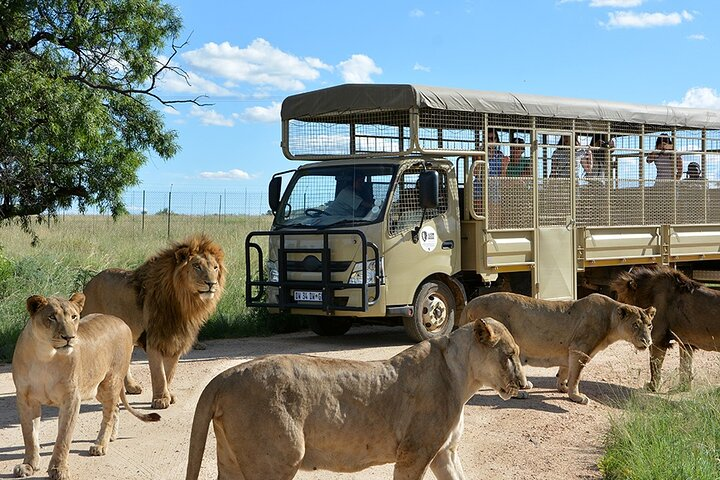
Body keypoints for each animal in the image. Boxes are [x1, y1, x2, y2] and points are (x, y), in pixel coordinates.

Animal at [13, 292, 160, 480]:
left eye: (74, 317)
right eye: (52, 317)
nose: (69, 337)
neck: (45, 355)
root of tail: (121, 321)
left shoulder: (71, 398)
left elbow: (63, 437)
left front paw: (59, 469)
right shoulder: (25, 399)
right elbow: (29, 436)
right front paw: (28, 466)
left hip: (110, 382)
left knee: (109, 414)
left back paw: (100, 445)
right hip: (98, 389)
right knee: (115, 409)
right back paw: (111, 437)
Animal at [81, 234, 225, 406]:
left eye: (215, 268)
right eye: (197, 266)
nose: (211, 283)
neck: (184, 303)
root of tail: (89, 283)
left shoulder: (176, 338)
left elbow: (169, 372)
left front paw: (168, 395)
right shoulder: (154, 338)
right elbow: (159, 373)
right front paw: (161, 399)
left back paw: (131, 387)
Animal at [184, 316, 524, 478]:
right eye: (510, 355)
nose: (523, 384)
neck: (463, 378)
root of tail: (223, 377)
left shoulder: (444, 454)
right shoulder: (414, 454)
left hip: (232, 459)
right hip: (278, 459)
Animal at [458, 290, 656, 404]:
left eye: (649, 326)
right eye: (635, 325)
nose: (648, 341)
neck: (610, 320)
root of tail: (469, 304)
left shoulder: (569, 350)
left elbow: (565, 371)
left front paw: (563, 388)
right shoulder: (580, 349)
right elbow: (576, 376)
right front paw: (576, 396)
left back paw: (526, 385)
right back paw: (519, 393)